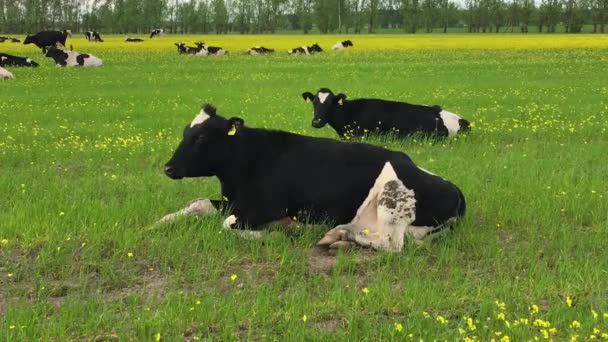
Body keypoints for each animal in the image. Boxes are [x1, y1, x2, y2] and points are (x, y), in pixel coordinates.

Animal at [157, 103, 466, 251]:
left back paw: (337, 236)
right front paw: (160, 222)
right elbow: (198, 203)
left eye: (201, 138)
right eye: (185, 132)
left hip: (392, 199)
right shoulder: (233, 201)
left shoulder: (267, 207)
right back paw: (341, 237)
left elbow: (227, 225)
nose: (168, 168)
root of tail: (456, 191)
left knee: (392, 245)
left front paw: (277, 234)